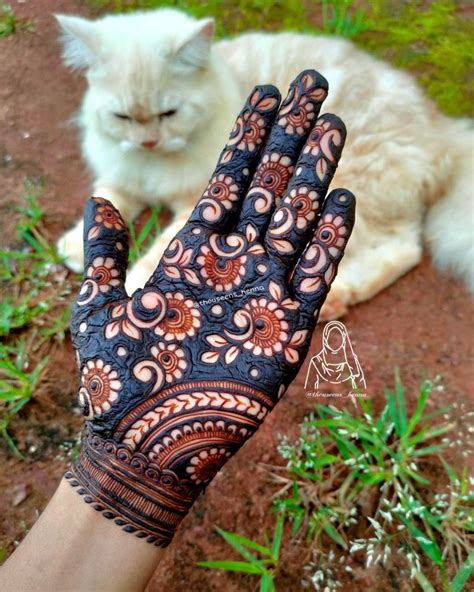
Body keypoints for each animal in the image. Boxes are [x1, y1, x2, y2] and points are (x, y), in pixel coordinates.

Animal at [54, 8, 470, 320]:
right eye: (122, 117)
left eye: (168, 113)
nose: (148, 142)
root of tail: (444, 128)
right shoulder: (122, 176)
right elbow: (106, 202)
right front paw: (78, 246)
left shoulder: (197, 201)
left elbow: (163, 246)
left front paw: (137, 284)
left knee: (400, 251)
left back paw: (333, 300)